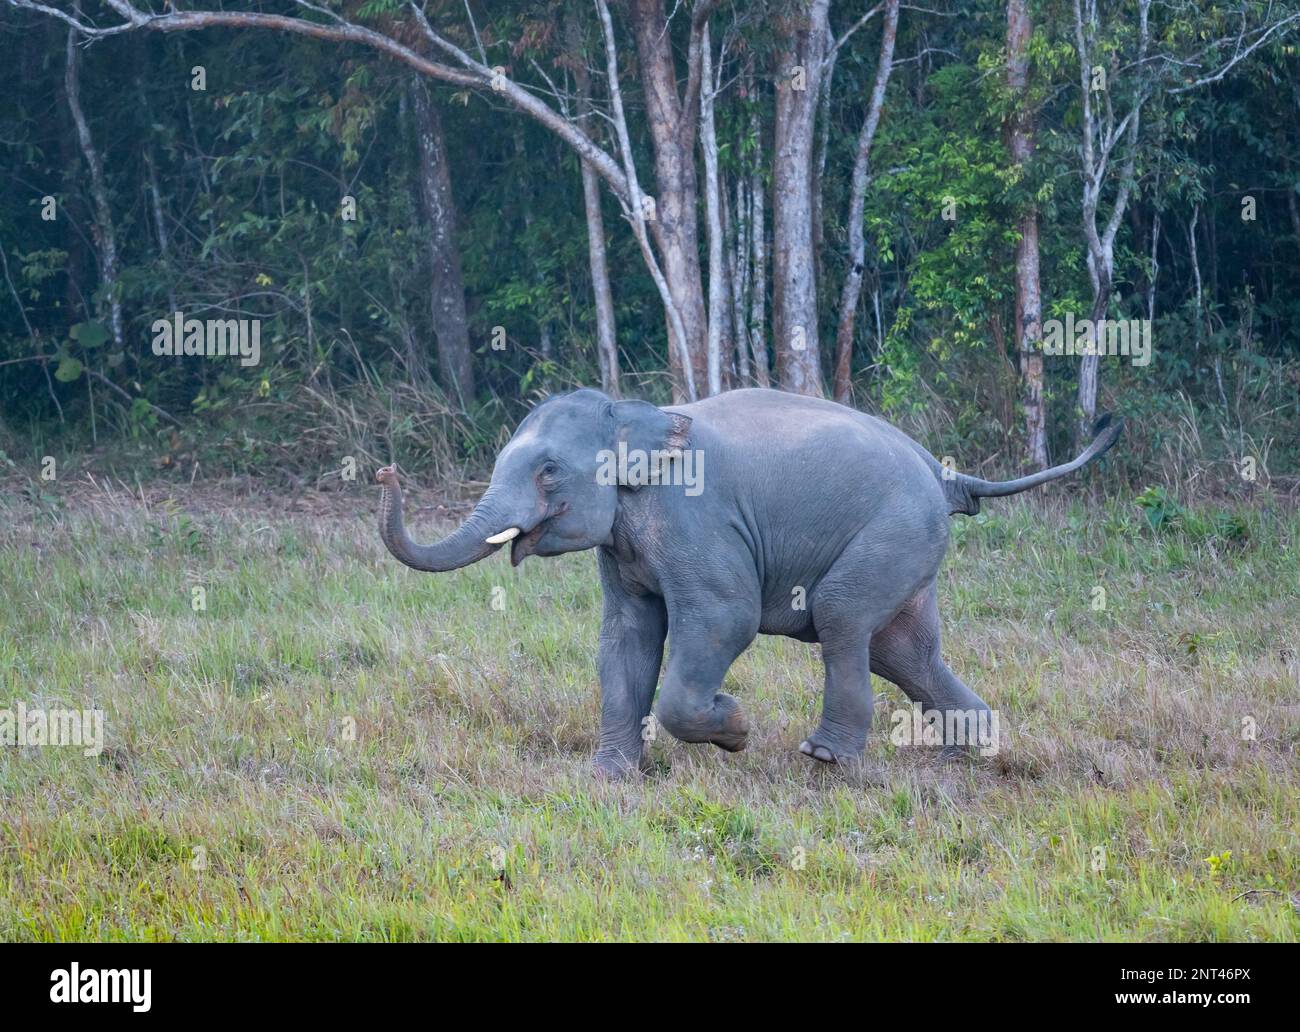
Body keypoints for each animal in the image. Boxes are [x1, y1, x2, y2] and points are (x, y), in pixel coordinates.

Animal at [374, 384, 1118, 769]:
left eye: (548, 470)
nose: (383, 470)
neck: (638, 407)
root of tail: (945, 473)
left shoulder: (696, 520)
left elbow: (721, 620)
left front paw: (734, 729)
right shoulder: (621, 546)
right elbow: (625, 637)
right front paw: (611, 775)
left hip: (894, 530)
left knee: (843, 620)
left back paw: (824, 759)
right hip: (910, 544)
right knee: (901, 649)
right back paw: (979, 752)